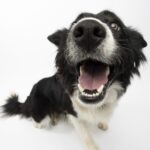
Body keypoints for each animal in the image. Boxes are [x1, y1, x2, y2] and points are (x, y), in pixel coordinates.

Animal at [0, 10, 146, 150]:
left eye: (115, 26)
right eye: (73, 24)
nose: (88, 30)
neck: (94, 105)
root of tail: (28, 99)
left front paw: (102, 123)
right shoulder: (72, 112)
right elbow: (85, 134)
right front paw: (93, 147)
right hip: (39, 110)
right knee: (38, 121)